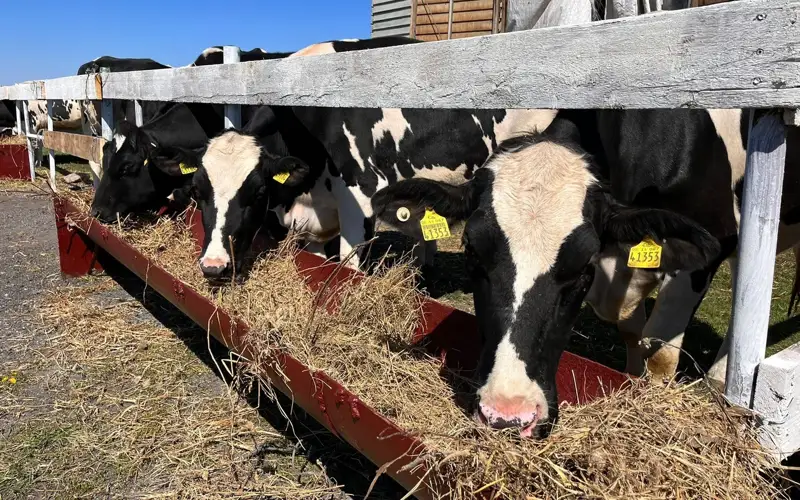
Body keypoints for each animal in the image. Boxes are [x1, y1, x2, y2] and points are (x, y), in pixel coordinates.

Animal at [369, 109, 799, 437]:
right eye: (472, 252)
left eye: (582, 265)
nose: (508, 415)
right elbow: (632, 333)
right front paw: (631, 383)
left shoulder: (708, 244)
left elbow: (659, 352)